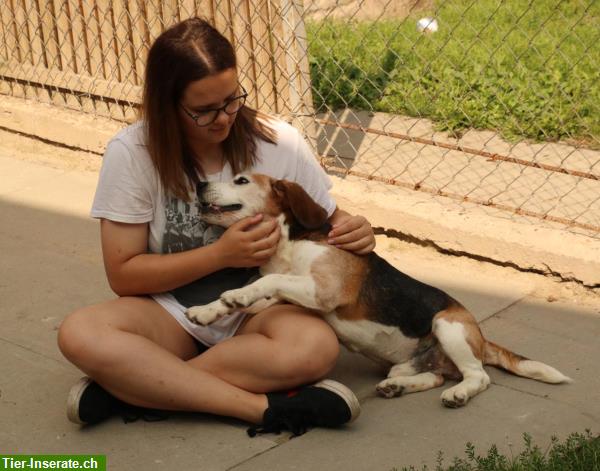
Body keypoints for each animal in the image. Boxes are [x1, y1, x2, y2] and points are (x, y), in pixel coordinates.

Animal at [188, 175, 572, 408]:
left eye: (240, 179)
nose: (201, 183)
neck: (289, 242)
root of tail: (481, 336)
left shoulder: (324, 289)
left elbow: (265, 282)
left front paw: (234, 296)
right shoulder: (288, 292)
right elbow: (253, 292)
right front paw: (209, 309)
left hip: (447, 326)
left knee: (478, 376)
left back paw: (459, 393)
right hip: (409, 364)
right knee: (432, 375)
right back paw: (399, 387)